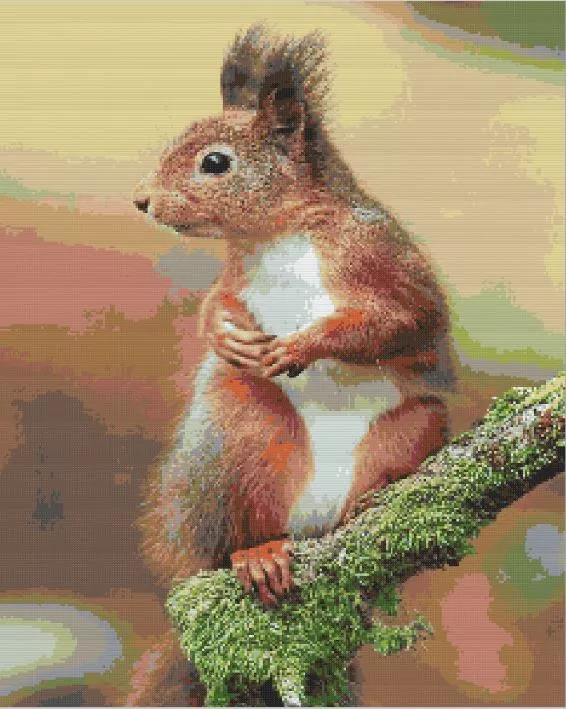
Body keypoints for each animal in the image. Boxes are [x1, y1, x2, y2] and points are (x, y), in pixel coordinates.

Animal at [127, 25, 454, 706]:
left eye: (215, 162)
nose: (142, 201)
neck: (277, 235)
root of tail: (308, 525)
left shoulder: (385, 261)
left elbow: (404, 320)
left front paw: (301, 345)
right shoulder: (237, 277)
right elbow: (216, 301)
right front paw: (224, 332)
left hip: (417, 424)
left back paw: (365, 507)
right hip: (234, 435)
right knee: (230, 540)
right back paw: (257, 555)